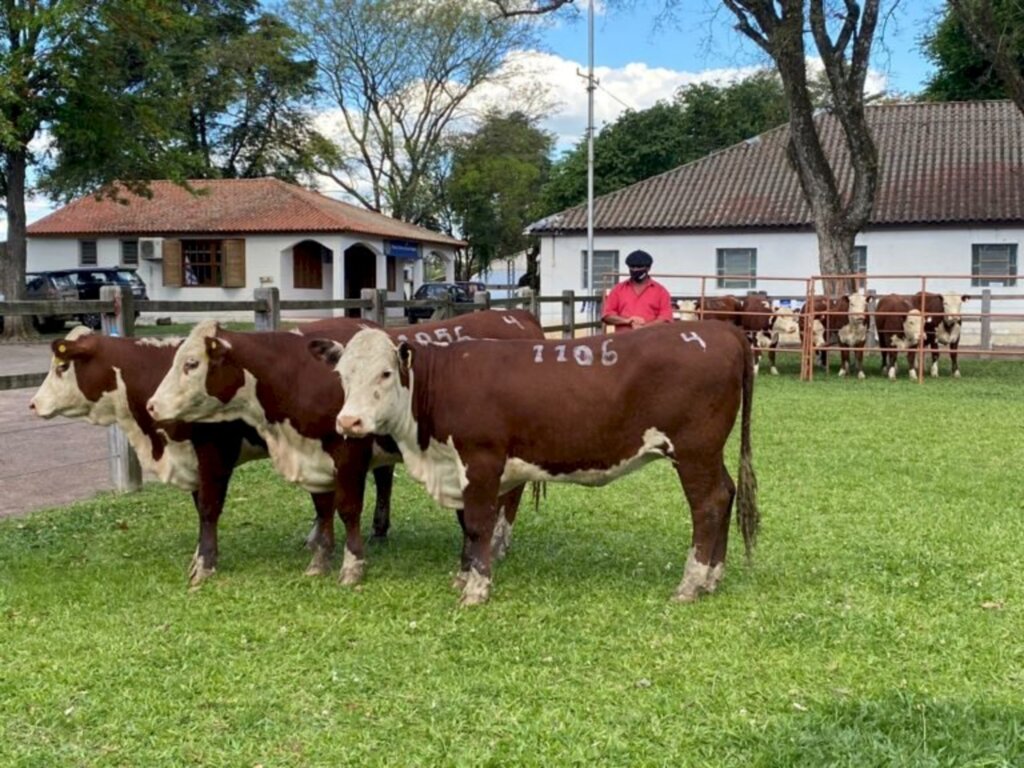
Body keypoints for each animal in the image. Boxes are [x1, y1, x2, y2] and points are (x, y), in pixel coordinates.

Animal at [27, 327, 376, 585]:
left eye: (61, 367)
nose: (32, 404)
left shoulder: (214, 454)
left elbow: (209, 508)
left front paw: (204, 565)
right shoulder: (191, 461)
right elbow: (201, 509)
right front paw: (201, 556)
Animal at [148, 309, 548, 585]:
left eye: (191, 363)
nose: (152, 405)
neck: (298, 372)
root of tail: (518, 316)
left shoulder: (348, 451)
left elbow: (347, 508)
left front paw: (352, 564)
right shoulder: (314, 454)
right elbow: (323, 508)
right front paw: (319, 560)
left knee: (510, 497)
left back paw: (499, 542)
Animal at [313, 323, 761, 606]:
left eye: (386, 373)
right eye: (341, 375)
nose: (348, 422)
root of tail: (720, 330)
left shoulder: (481, 459)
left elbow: (478, 524)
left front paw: (476, 589)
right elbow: (467, 525)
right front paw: (464, 574)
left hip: (693, 451)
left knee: (708, 506)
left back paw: (691, 583)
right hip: (708, 453)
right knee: (727, 494)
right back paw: (713, 577)